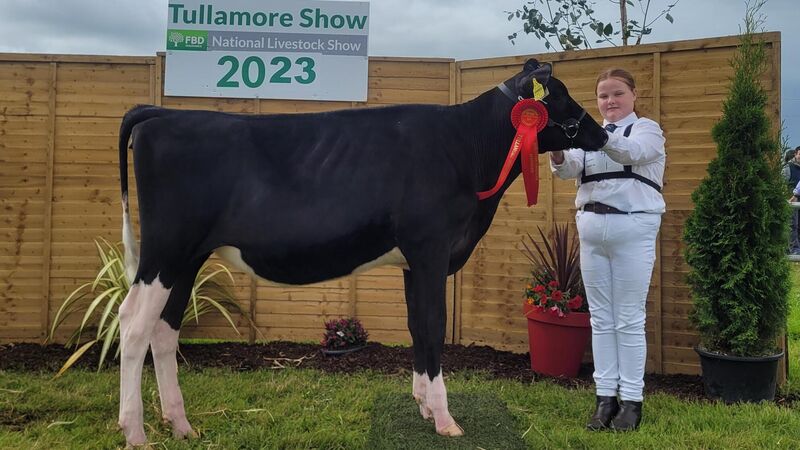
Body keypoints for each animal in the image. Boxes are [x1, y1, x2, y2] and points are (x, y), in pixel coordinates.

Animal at [115, 58, 607, 446]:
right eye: (560, 95)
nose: (602, 134)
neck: (464, 147)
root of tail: (160, 113)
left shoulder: (412, 260)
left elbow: (416, 326)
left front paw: (423, 405)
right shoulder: (430, 249)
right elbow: (433, 326)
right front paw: (445, 420)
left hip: (186, 259)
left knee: (164, 330)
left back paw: (181, 426)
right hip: (164, 251)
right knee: (134, 323)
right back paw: (135, 432)